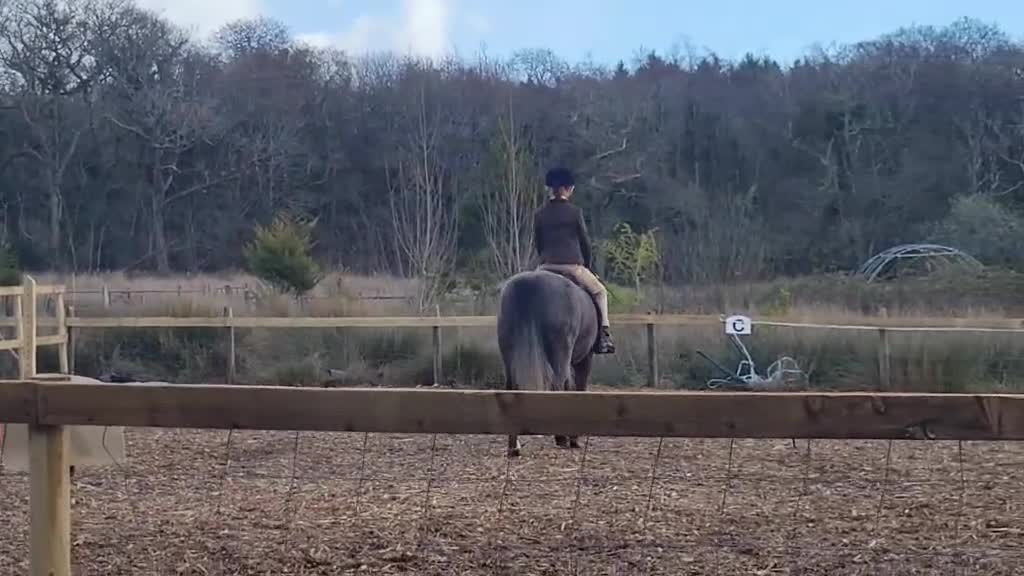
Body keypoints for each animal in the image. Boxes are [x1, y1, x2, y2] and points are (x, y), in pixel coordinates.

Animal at [496, 268, 600, 457]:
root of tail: (530, 283)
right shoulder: (585, 358)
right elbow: (578, 388)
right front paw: (574, 439)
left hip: (508, 353)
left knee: (511, 388)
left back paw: (514, 447)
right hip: (561, 353)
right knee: (557, 385)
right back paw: (562, 438)